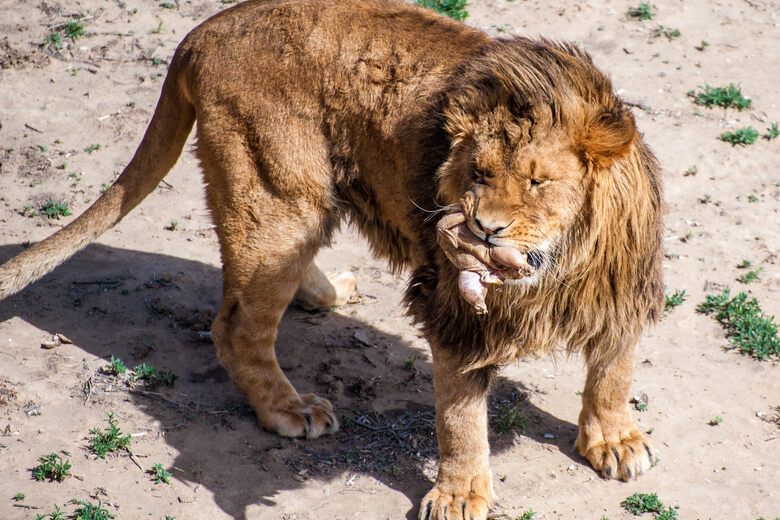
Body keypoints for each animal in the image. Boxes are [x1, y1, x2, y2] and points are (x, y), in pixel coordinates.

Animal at [0, 0, 664, 516]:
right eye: (477, 174)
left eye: (537, 181)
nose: (482, 226)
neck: (561, 265)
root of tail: (203, 31)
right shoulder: (452, 309)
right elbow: (460, 416)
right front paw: (460, 494)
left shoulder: (624, 292)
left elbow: (613, 370)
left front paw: (613, 440)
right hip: (276, 197)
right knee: (235, 326)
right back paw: (291, 410)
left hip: (293, 208)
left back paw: (328, 293)